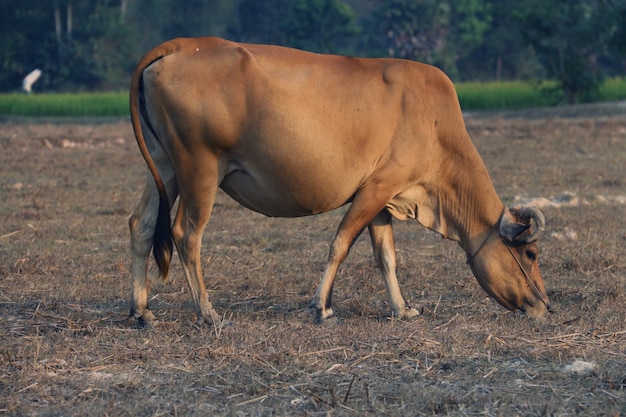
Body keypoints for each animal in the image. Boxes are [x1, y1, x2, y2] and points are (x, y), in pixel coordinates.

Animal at [127, 37, 544, 326]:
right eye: (531, 255)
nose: (544, 305)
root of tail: (183, 44)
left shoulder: (384, 198)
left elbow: (387, 257)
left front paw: (402, 309)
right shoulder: (376, 188)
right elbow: (340, 245)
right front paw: (323, 307)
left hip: (164, 166)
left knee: (142, 224)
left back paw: (141, 311)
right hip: (200, 168)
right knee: (186, 234)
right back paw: (208, 312)